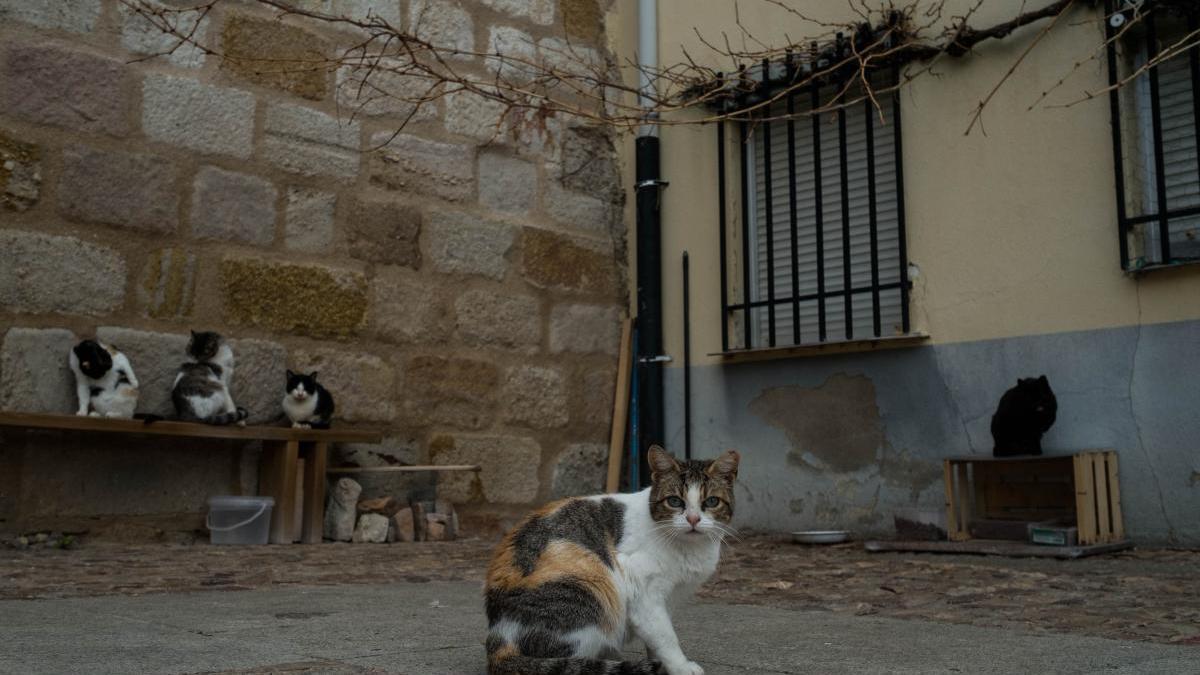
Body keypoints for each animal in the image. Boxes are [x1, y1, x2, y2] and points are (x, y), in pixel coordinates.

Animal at [482, 444, 734, 667]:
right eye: (674, 501)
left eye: (711, 501)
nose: (693, 519)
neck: (689, 548)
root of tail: (500, 632)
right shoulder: (643, 592)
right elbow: (666, 637)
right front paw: (681, 667)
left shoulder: (667, 598)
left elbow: (657, 636)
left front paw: (659, 663)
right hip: (592, 591)